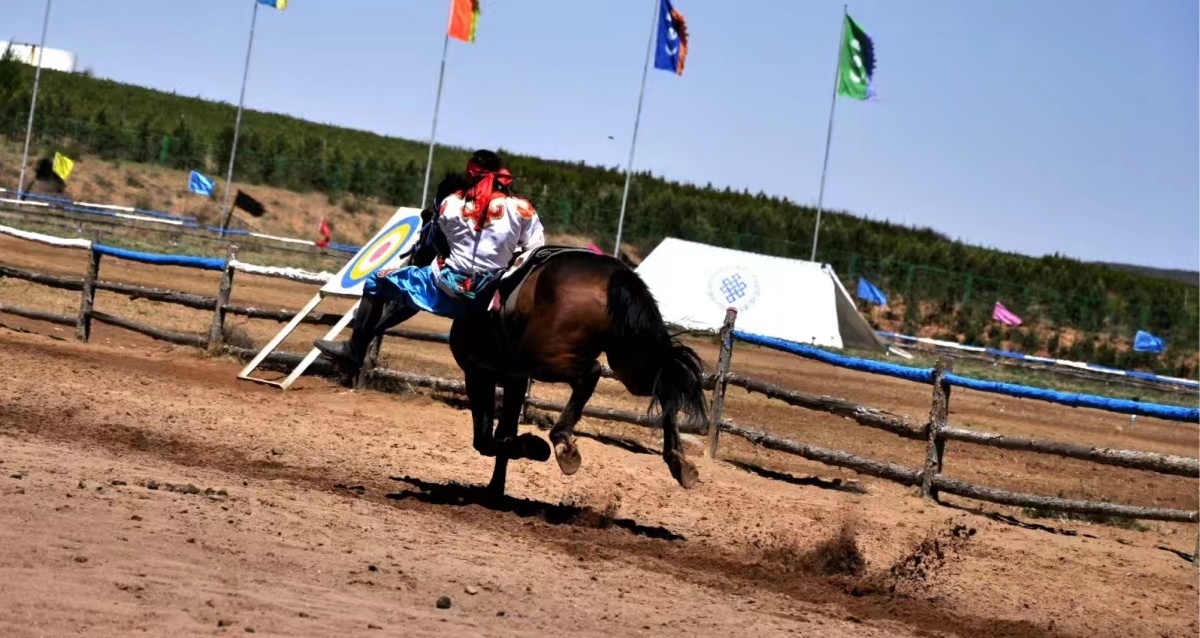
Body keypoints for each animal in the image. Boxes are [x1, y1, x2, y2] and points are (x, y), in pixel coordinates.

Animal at [445, 247, 709, 498]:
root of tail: (614, 274)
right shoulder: (514, 380)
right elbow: (503, 433)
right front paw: (496, 488)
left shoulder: (479, 374)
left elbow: (485, 440)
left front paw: (532, 448)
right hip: (631, 363)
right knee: (665, 385)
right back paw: (679, 462)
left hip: (545, 358)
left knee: (591, 373)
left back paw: (562, 442)